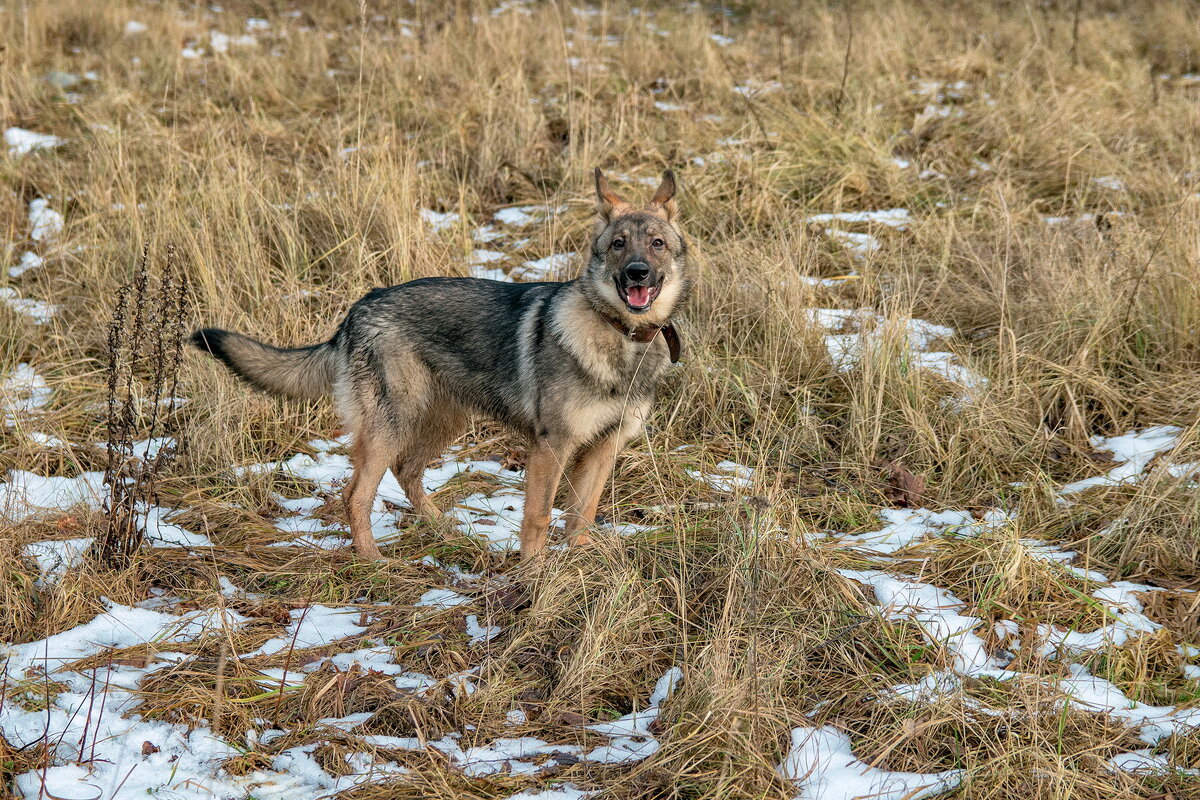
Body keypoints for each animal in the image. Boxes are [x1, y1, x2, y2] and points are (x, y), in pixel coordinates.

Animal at [190, 169, 691, 561]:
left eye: (658, 244)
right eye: (619, 244)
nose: (638, 273)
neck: (621, 338)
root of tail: (358, 308)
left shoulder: (604, 447)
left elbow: (581, 517)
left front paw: (580, 568)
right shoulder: (551, 448)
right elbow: (538, 518)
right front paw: (533, 577)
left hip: (442, 420)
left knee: (406, 472)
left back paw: (442, 526)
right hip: (394, 423)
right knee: (356, 494)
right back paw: (373, 560)